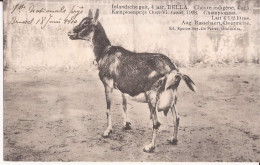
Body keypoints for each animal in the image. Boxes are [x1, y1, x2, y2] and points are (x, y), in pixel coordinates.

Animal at [68, 9, 196, 153]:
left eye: (85, 24)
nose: (70, 33)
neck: (105, 52)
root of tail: (174, 70)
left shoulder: (107, 84)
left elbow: (108, 108)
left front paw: (107, 131)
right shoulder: (123, 88)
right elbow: (124, 104)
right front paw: (127, 124)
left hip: (152, 96)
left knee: (156, 122)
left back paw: (150, 147)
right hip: (172, 95)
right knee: (177, 118)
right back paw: (173, 139)